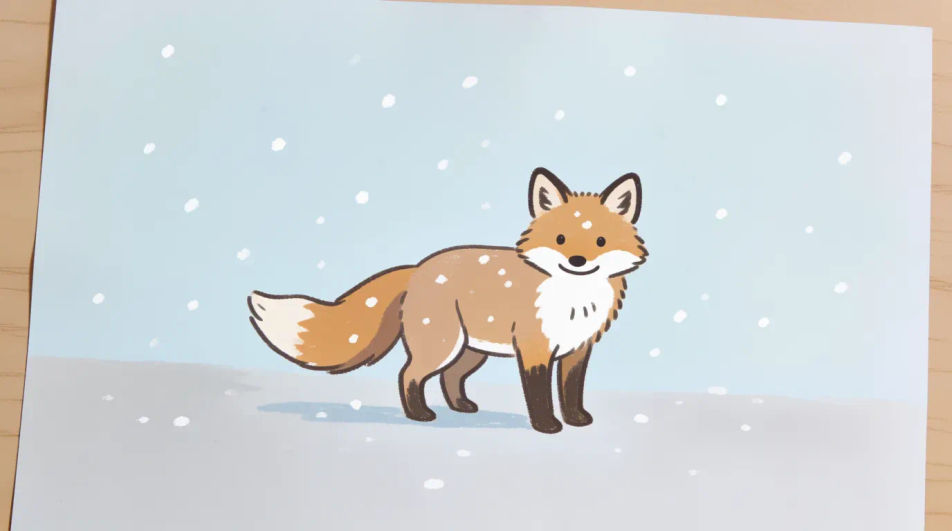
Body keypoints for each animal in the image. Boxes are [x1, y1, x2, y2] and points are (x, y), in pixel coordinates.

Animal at [247, 168, 648, 433]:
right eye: (561, 239)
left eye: (600, 241)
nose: (577, 261)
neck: (574, 299)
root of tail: (418, 268)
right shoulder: (534, 350)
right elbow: (539, 395)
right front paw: (547, 425)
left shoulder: (577, 350)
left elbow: (571, 391)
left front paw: (577, 419)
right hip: (443, 345)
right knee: (408, 375)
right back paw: (419, 415)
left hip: (469, 352)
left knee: (448, 378)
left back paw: (462, 407)